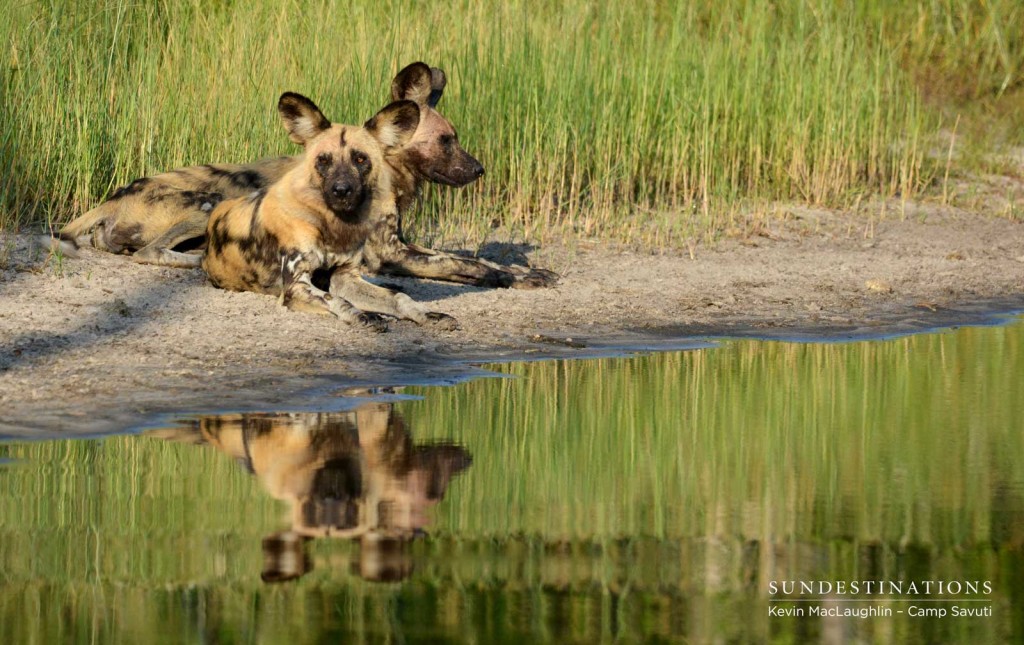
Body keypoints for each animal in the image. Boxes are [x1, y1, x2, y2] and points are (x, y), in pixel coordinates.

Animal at [56, 63, 557, 290]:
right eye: (447, 141)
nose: (479, 169)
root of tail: (116, 195)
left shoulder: (405, 244)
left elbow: (468, 257)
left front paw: (524, 270)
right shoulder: (392, 254)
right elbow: (464, 264)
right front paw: (512, 278)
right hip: (208, 203)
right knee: (151, 253)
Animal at [201, 92, 454, 331]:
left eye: (360, 159)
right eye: (323, 160)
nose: (341, 190)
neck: (333, 224)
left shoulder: (346, 277)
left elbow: (399, 298)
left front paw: (427, 314)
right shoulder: (296, 285)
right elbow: (337, 300)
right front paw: (364, 316)